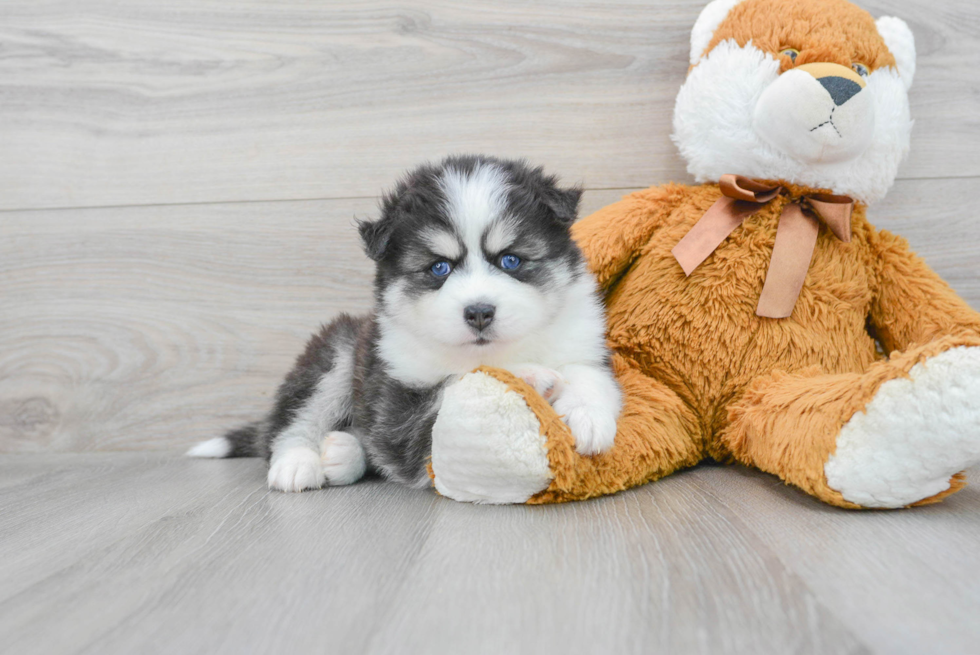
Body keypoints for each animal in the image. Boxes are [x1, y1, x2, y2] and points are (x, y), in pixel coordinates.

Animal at [188, 155, 624, 492]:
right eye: (439, 267)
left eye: (511, 260)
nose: (479, 312)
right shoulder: (397, 404)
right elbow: (456, 384)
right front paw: (529, 377)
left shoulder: (584, 341)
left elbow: (588, 374)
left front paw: (587, 417)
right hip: (339, 347)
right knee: (294, 421)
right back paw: (298, 463)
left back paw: (342, 453)